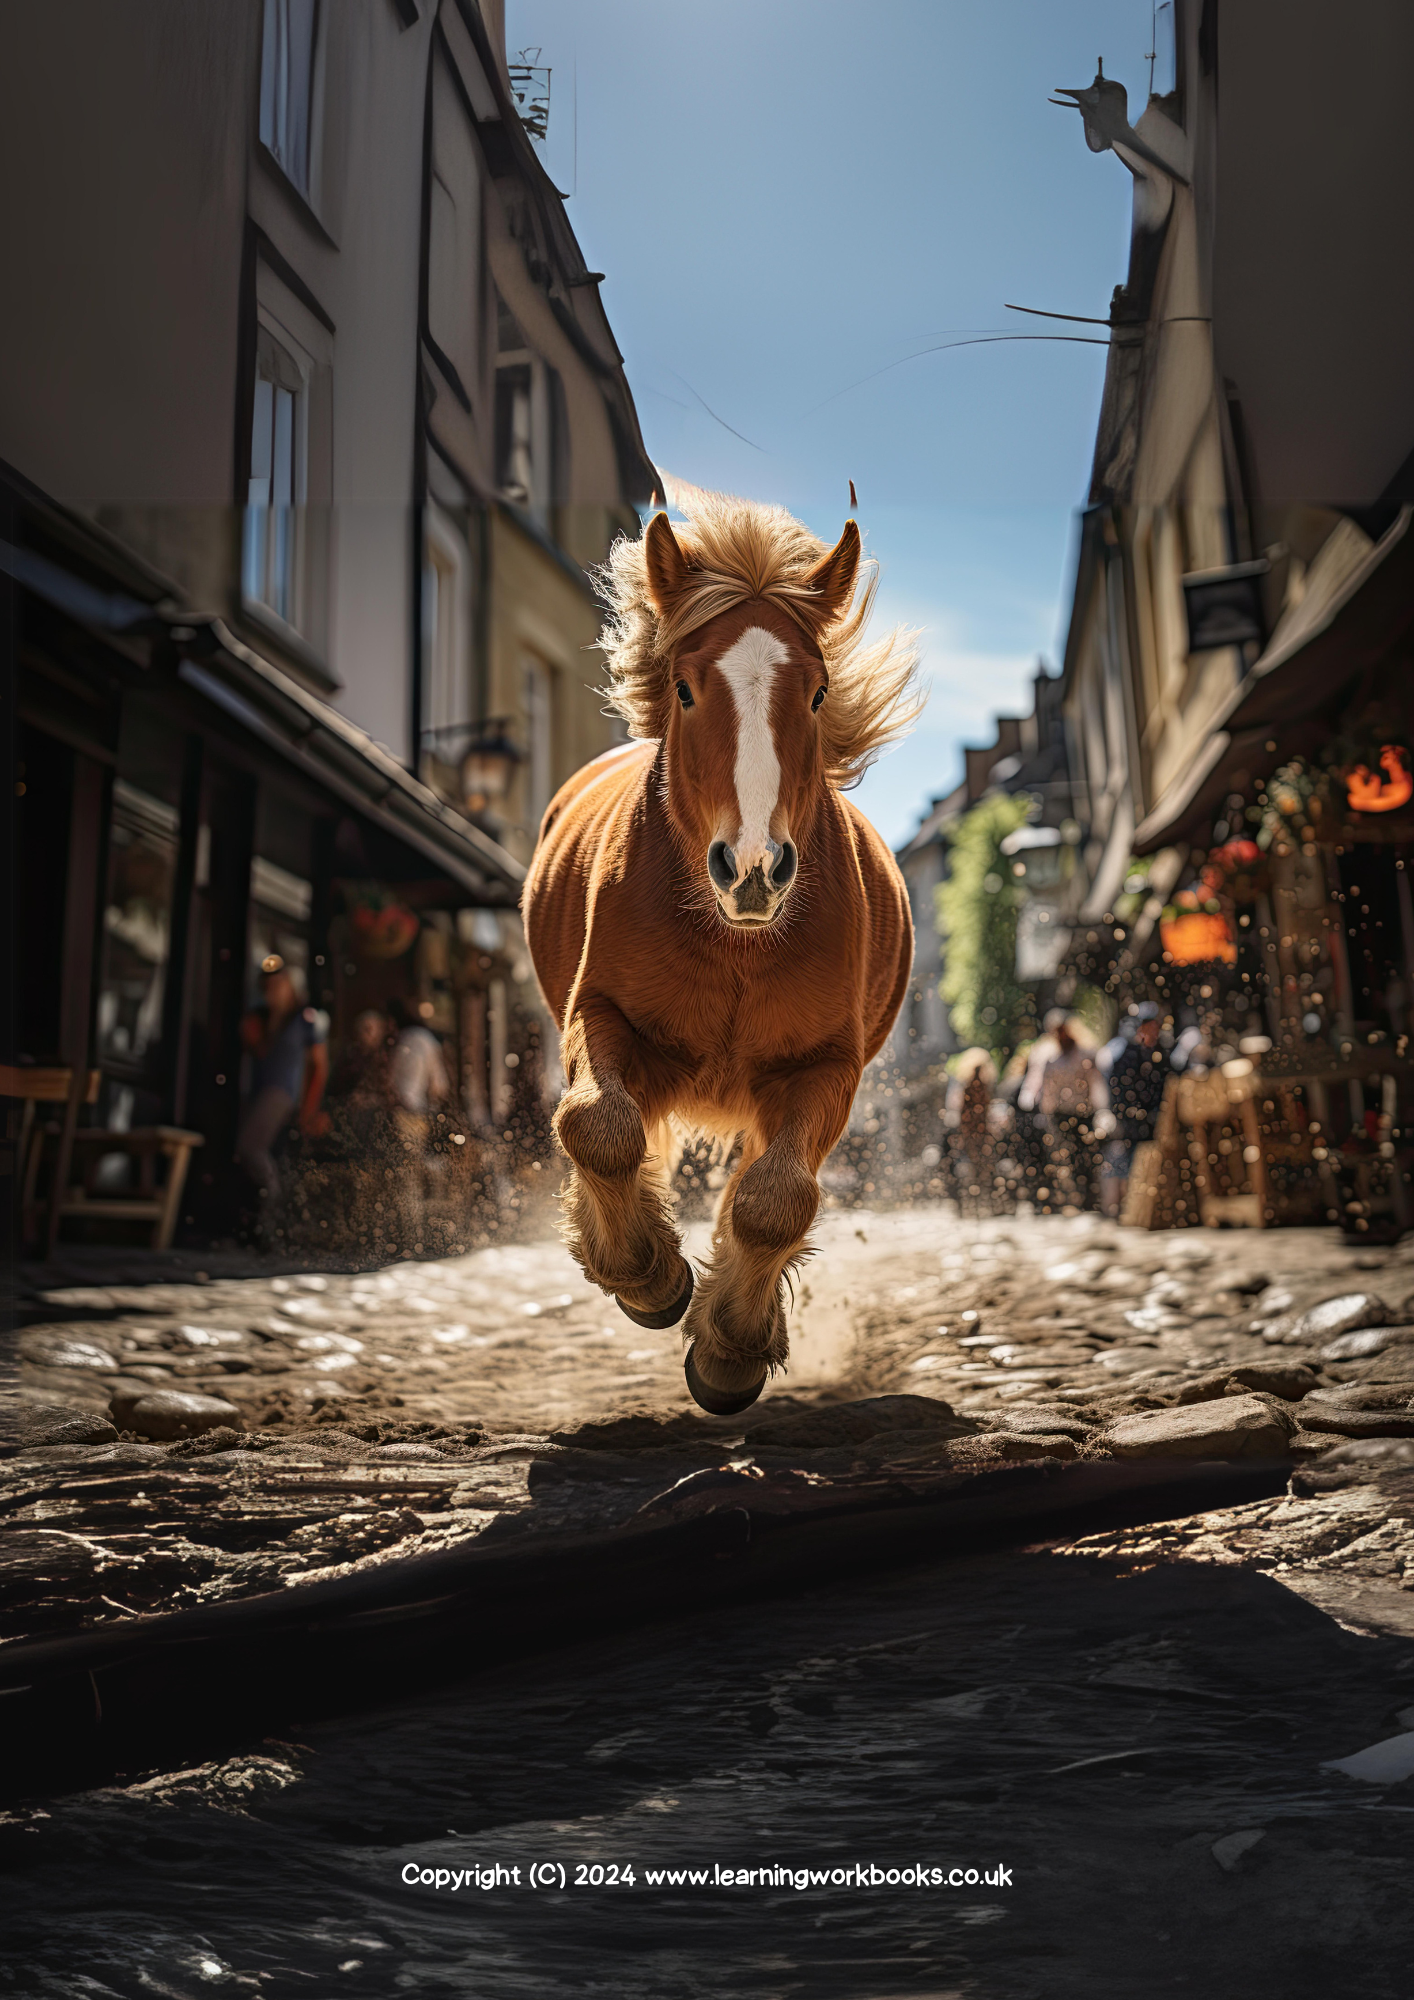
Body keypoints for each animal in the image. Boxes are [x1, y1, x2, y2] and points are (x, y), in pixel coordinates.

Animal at [522, 487, 922, 1414]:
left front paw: (732, 1345)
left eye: (817, 692)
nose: (753, 869)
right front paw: (646, 1274)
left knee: (752, 1182)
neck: (734, 943)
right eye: (684, 687)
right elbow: (598, 1127)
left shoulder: (826, 1066)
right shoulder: (599, 1016)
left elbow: (775, 1200)